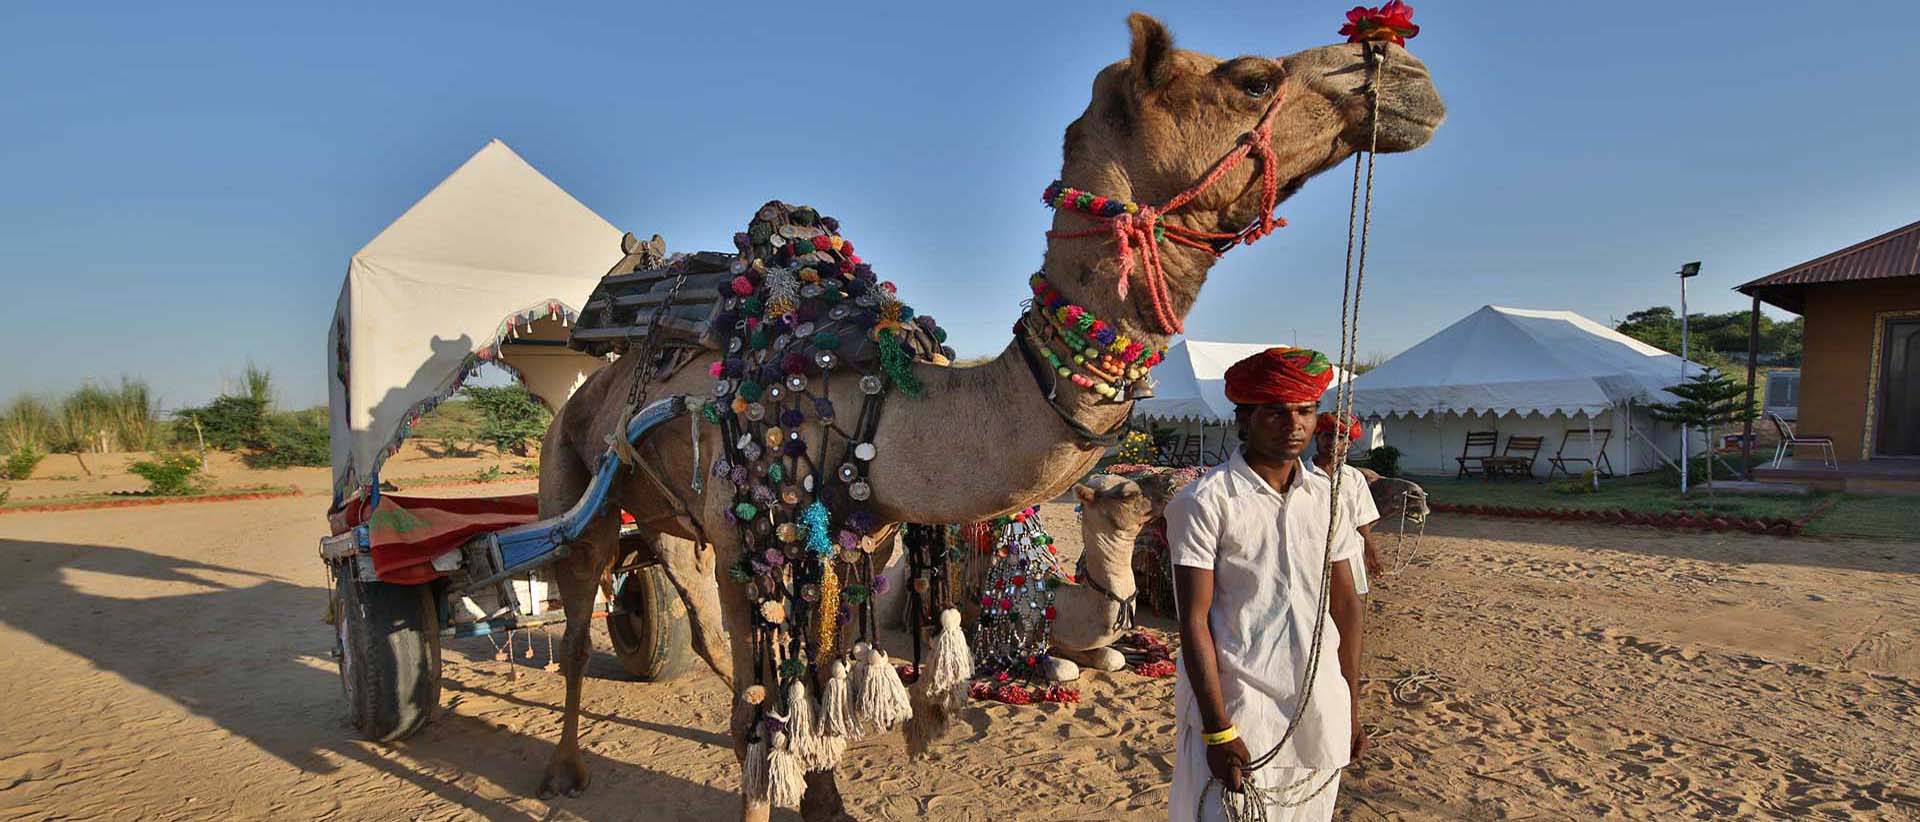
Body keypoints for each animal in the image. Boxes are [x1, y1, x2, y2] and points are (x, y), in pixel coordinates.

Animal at [534, 13, 1444, 819]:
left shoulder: (858, 539)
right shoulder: (743, 541)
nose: (1406, 72)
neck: (877, 402)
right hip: (573, 477)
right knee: (579, 616)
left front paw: (827, 803)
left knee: (692, 615)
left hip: (676, 521)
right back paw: (566, 772)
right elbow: (760, 715)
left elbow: (817, 687)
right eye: (1251, 78)